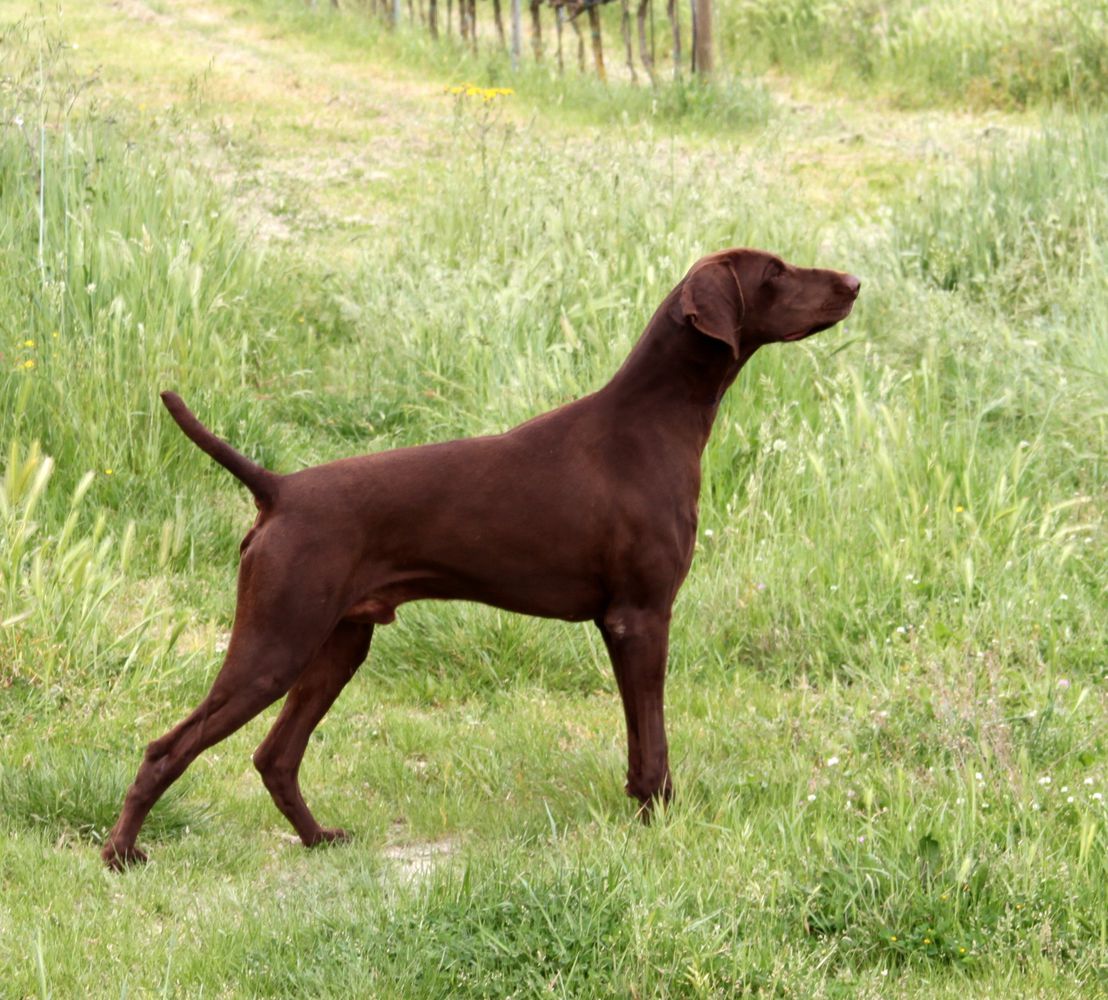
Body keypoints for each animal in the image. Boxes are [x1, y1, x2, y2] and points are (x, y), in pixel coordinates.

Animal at [99, 248, 855, 868]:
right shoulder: (640, 618)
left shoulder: (626, 622)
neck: (651, 422)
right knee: (168, 749)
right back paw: (121, 853)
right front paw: (657, 817)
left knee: (275, 757)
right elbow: (654, 743)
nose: (852, 283)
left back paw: (317, 839)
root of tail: (279, 489)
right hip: (275, 644)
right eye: (775, 272)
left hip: (338, 645)